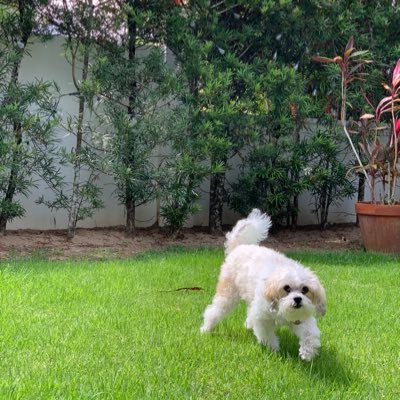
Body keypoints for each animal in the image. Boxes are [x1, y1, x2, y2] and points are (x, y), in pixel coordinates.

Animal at [202, 211, 326, 360]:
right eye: (286, 288)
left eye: (305, 289)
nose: (297, 299)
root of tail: (238, 247)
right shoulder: (262, 318)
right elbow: (267, 336)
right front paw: (274, 350)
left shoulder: (300, 318)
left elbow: (309, 334)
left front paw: (307, 353)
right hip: (228, 293)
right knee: (214, 310)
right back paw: (206, 329)